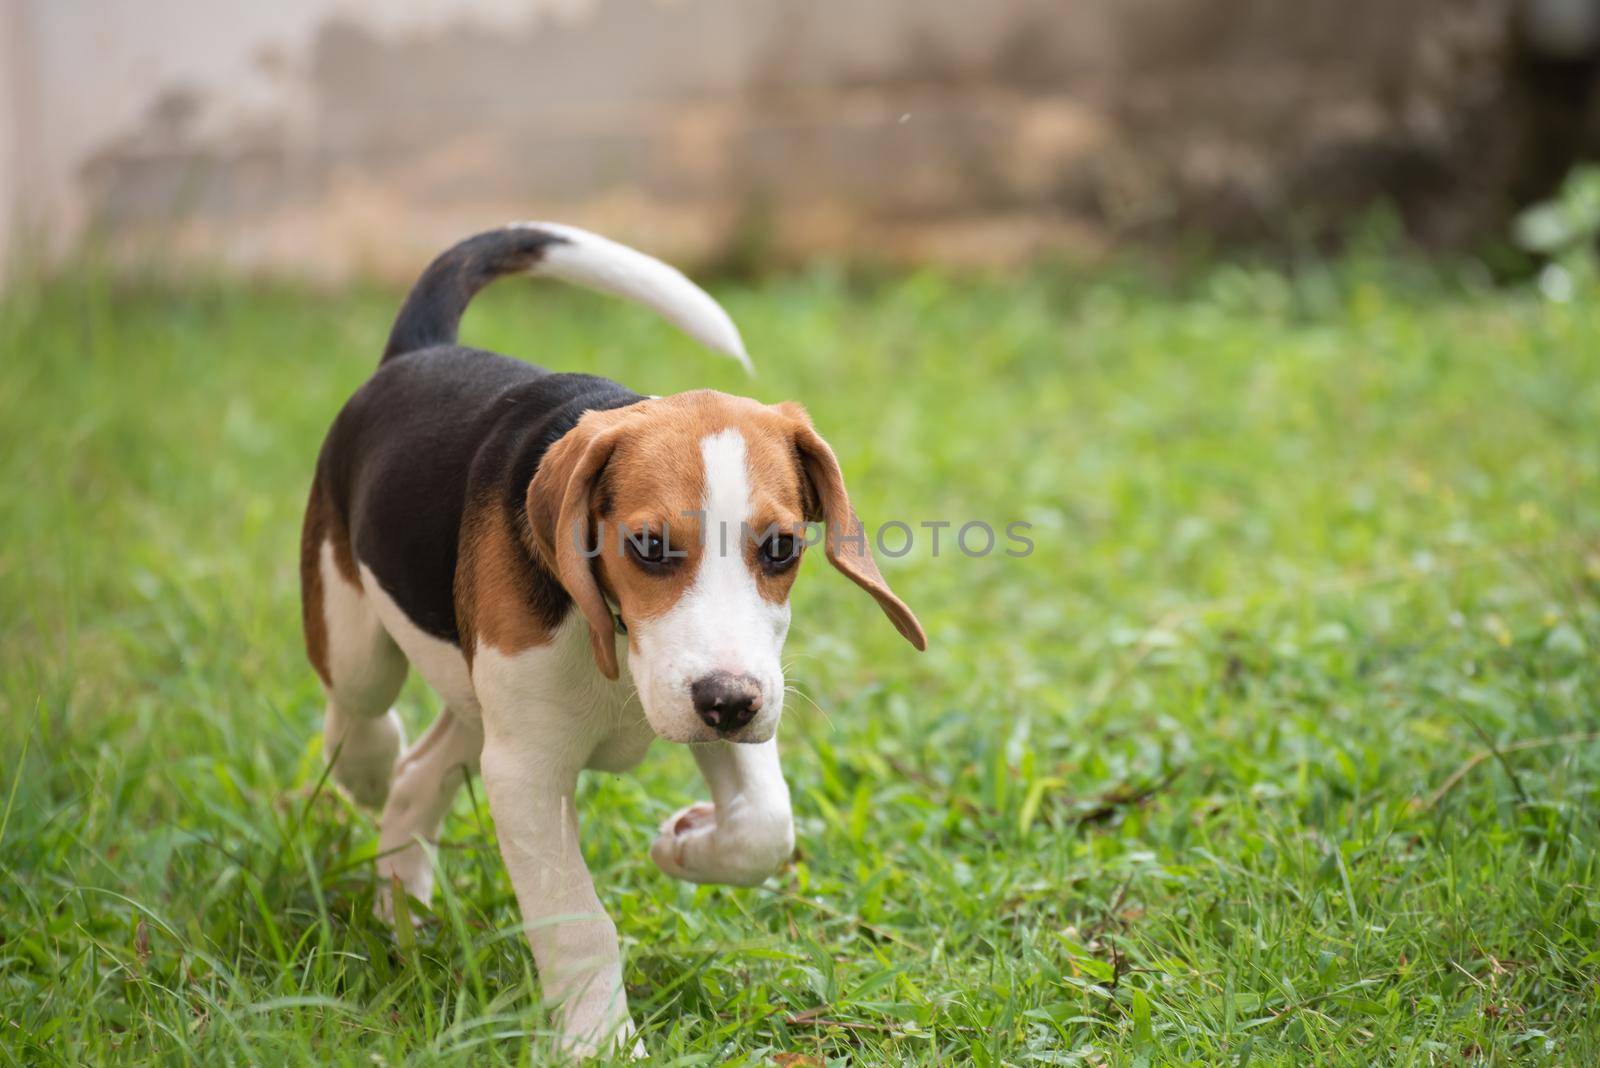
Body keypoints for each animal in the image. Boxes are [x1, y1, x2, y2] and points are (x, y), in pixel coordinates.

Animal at [300, 220, 928, 1055]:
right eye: (650, 547)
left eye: (782, 548)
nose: (729, 702)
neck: (615, 642)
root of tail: (418, 351)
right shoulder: (530, 774)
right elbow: (577, 923)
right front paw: (600, 1043)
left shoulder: (715, 701)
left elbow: (765, 826)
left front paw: (686, 844)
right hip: (359, 636)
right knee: (363, 710)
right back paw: (368, 772)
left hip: (484, 705)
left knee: (419, 774)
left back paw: (404, 913)